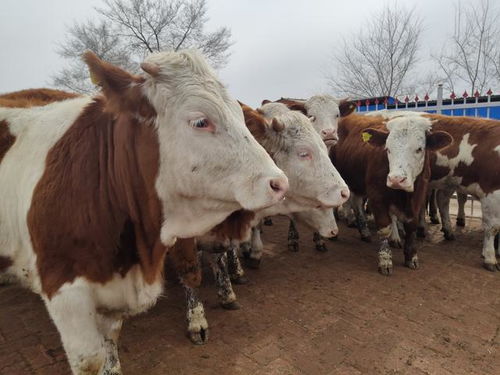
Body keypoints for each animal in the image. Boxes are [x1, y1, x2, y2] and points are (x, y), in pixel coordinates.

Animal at [332, 113, 454, 274]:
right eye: (388, 149)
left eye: (419, 149)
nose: (396, 179)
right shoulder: (377, 197)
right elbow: (385, 228)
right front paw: (385, 260)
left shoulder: (419, 195)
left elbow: (411, 226)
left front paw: (411, 256)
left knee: (356, 203)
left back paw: (364, 232)